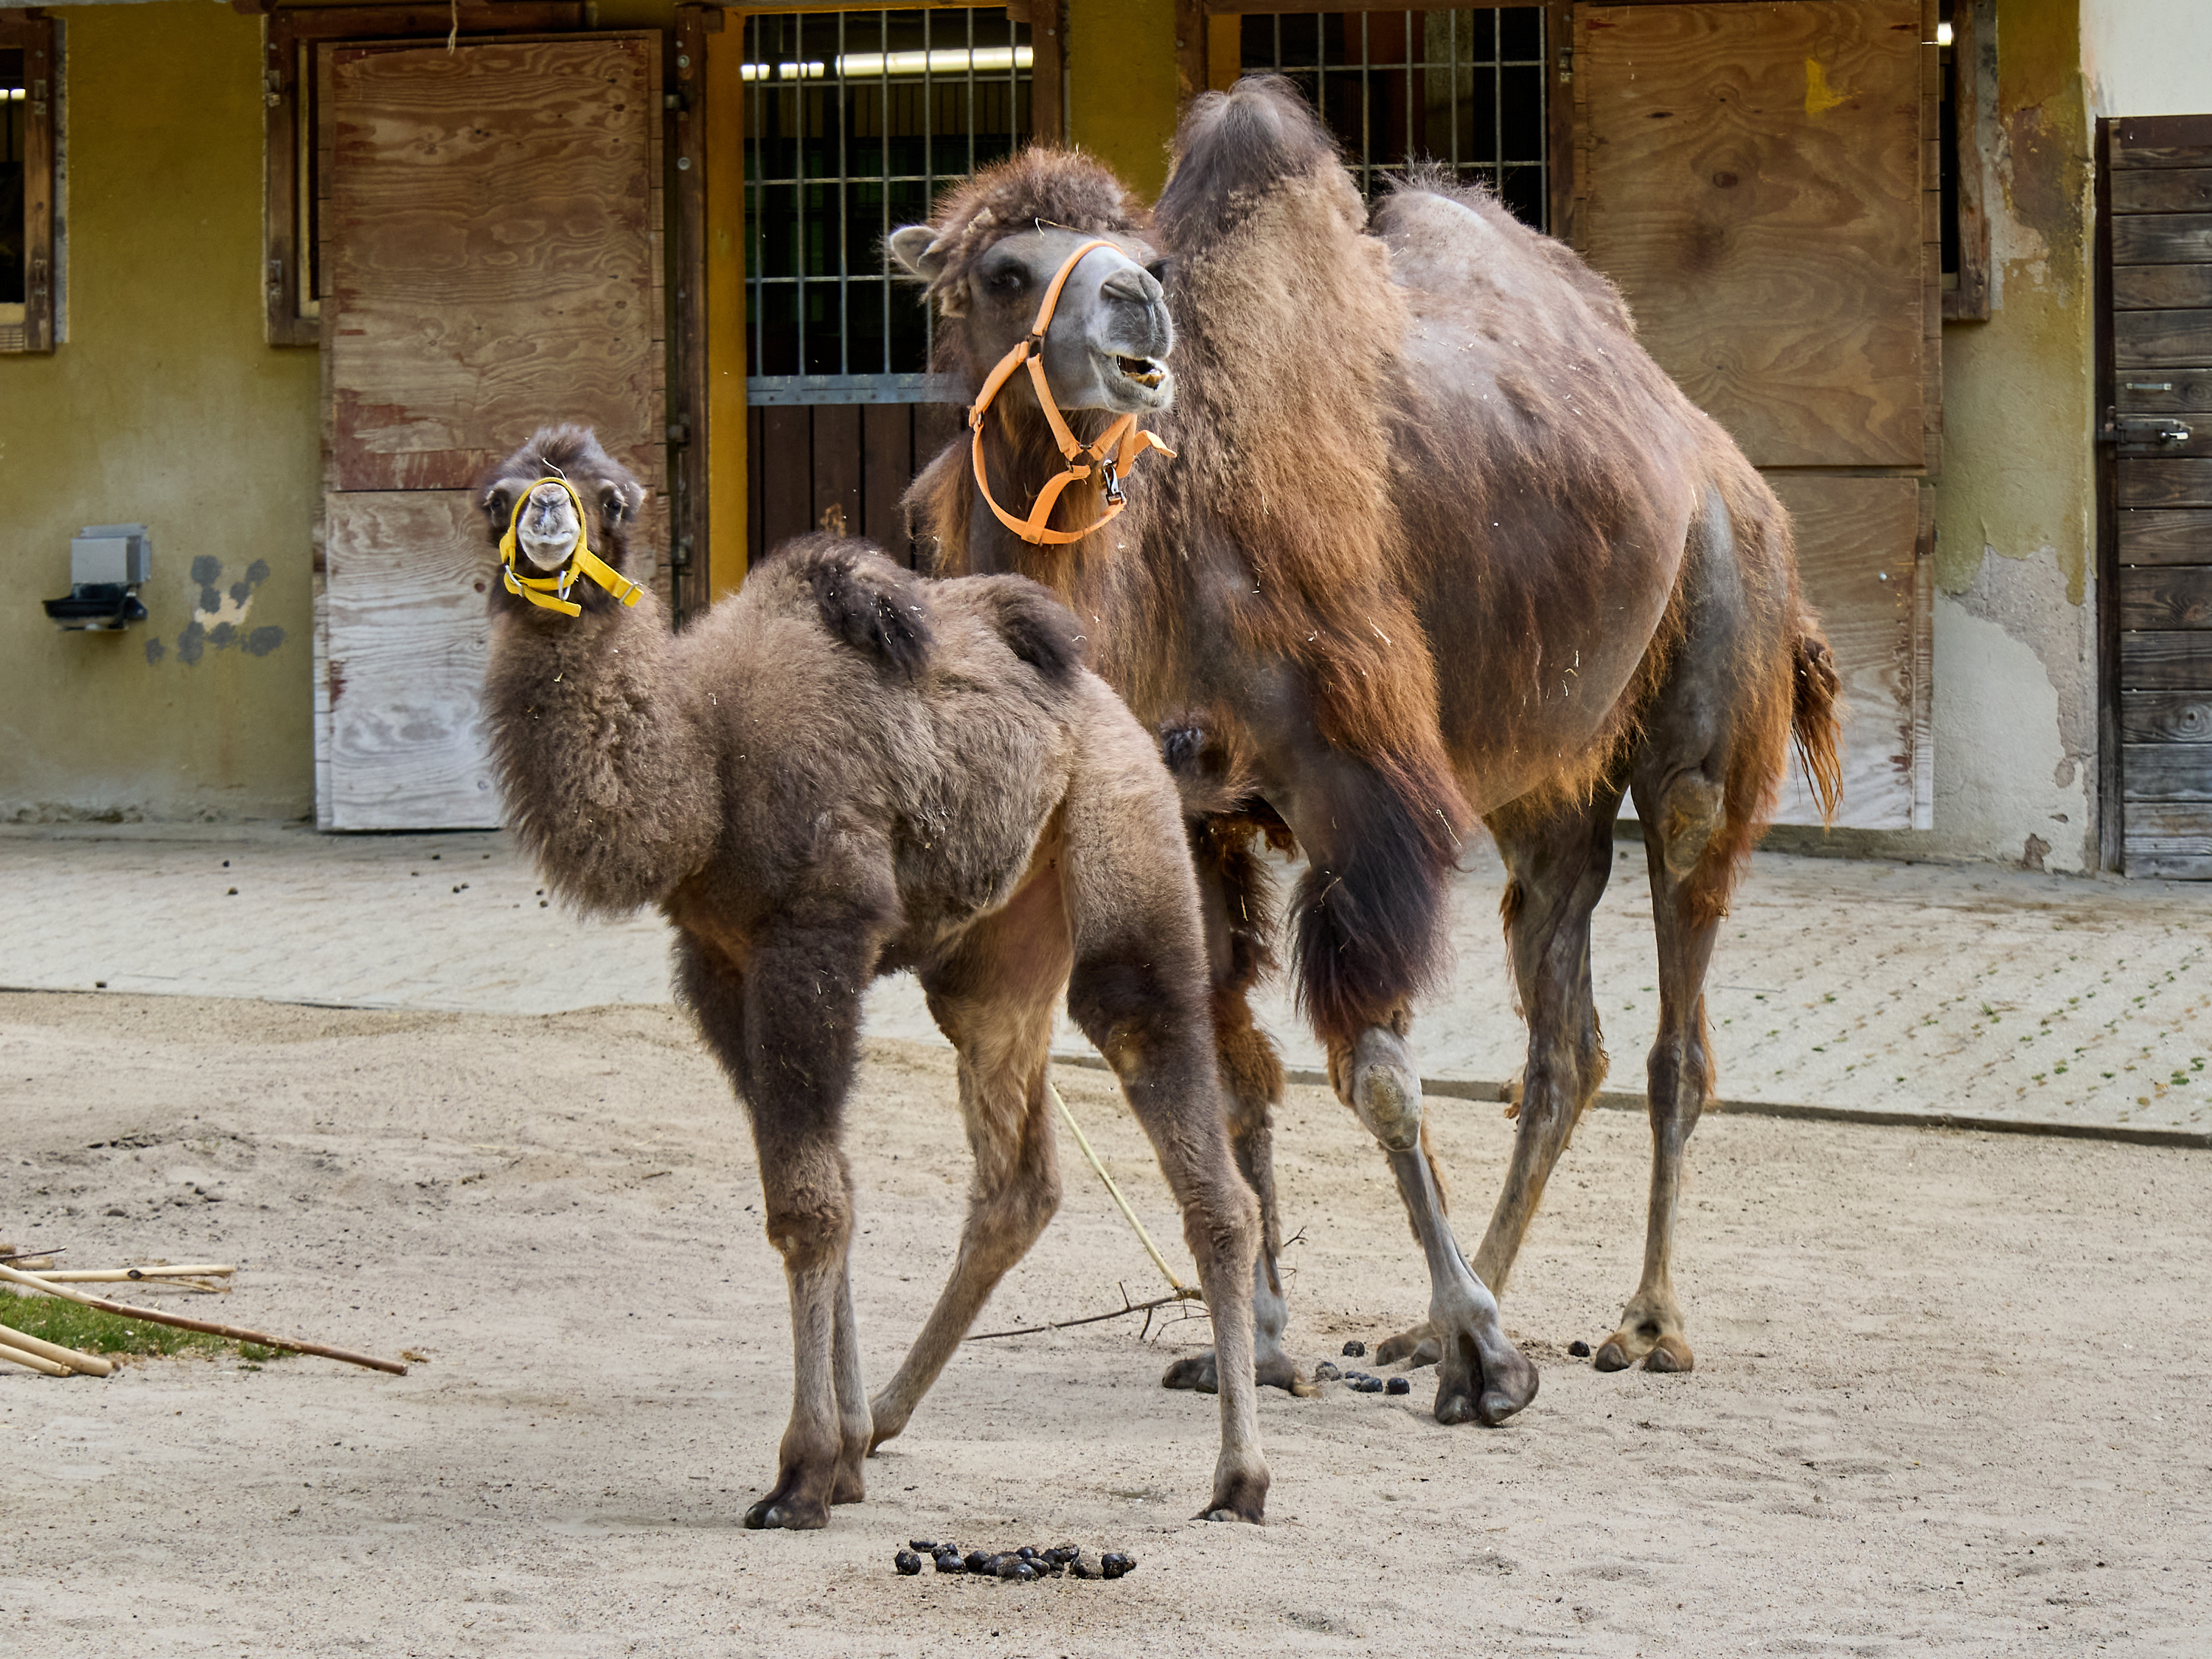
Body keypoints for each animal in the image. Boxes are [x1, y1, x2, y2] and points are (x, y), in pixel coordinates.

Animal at [473, 426, 1270, 1526]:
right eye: (494, 497)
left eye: (614, 500)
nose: (547, 518)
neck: (706, 762)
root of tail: (1118, 715)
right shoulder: (718, 964)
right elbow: (831, 1185)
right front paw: (843, 1455)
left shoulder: (814, 934)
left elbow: (808, 1206)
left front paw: (803, 1473)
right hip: (996, 956)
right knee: (1017, 1178)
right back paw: (888, 1416)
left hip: (1124, 843)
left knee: (1176, 1098)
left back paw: (1238, 1478)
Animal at [890, 77, 1843, 1427]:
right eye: (1003, 270)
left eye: (1144, 258)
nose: (1135, 308)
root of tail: (1717, 452)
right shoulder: (1198, 808)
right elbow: (1235, 1073)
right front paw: (1265, 1339)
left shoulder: (1357, 785)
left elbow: (1380, 1073)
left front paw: (1484, 1361)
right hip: (1546, 782)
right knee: (1566, 1037)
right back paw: (1440, 1313)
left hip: (1710, 674)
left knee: (1679, 1019)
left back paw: (1645, 1323)